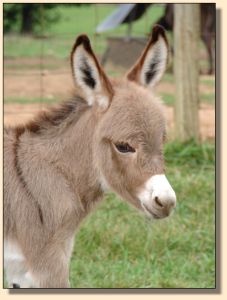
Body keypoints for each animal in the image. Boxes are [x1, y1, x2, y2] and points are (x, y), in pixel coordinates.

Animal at [3, 26, 177, 288]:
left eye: (162, 139)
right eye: (123, 146)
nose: (166, 202)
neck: (52, 176)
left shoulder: (22, 271)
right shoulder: (48, 265)